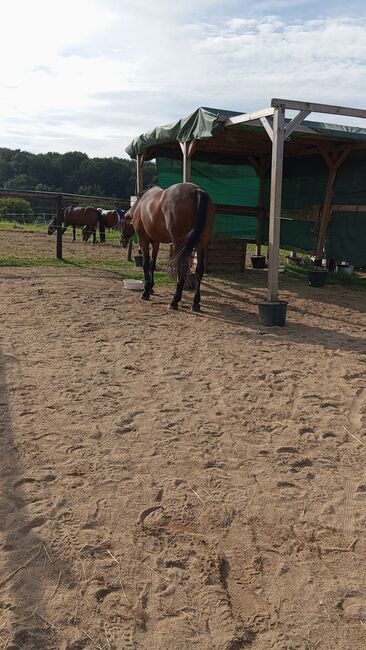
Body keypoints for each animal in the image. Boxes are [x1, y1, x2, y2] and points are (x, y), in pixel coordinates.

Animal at [123, 181, 214, 310]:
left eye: (123, 223)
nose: (122, 239)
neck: (140, 205)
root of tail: (198, 191)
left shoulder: (143, 240)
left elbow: (146, 265)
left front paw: (146, 292)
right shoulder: (156, 242)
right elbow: (152, 264)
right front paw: (151, 287)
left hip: (179, 244)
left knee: (182, 268)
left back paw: (174, 301)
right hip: (202, 243)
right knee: (199, 270)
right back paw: (196, 303)